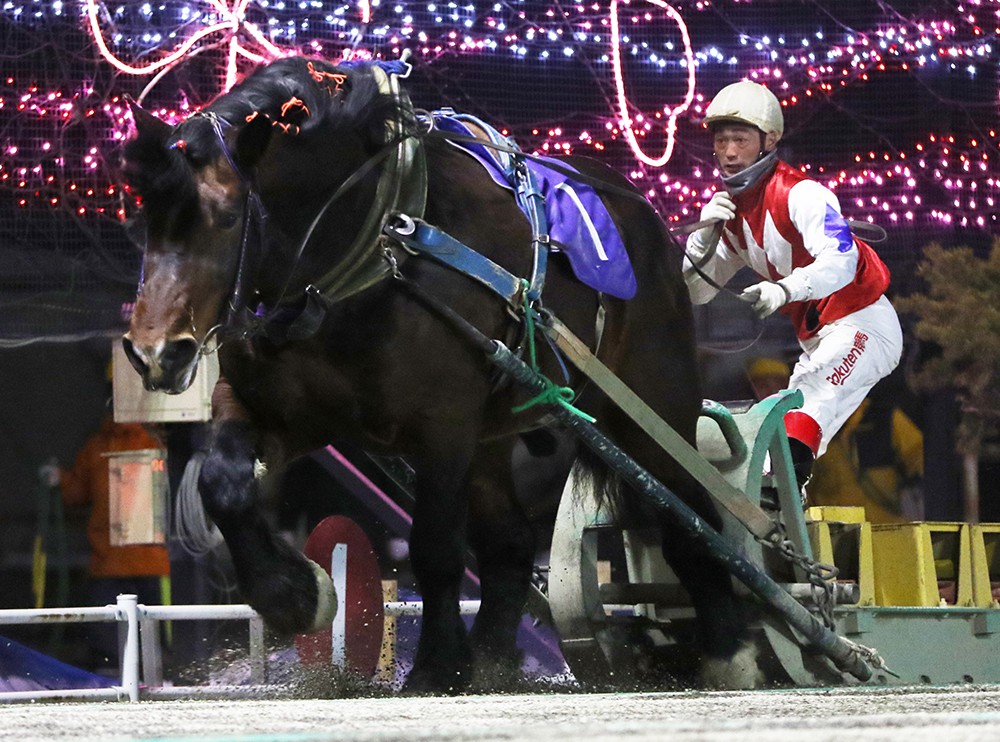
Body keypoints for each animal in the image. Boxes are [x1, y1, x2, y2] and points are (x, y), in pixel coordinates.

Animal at [121, 56, 752, 692]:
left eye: (227, 219)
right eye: (145, 221)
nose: (155, 353)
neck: (362, 254)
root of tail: (648, 220)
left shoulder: (441, 423)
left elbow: (434, 546)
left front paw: (437, 663)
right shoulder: (278, 408)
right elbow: (222, 483)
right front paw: (294, 597)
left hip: (650, 402)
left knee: (692, 514)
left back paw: (730, 647)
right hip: (493, 434)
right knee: (511, 543)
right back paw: (495, 655)